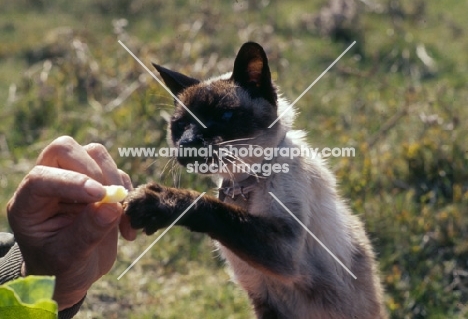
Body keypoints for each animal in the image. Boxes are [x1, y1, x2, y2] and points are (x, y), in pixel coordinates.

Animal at [122, 43, 386, 319]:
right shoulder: (262, 299)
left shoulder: (283, 248)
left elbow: (206, 205)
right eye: (181, 125)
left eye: (225, 116)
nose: (187, 143)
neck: (241, 183)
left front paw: (154, 202)